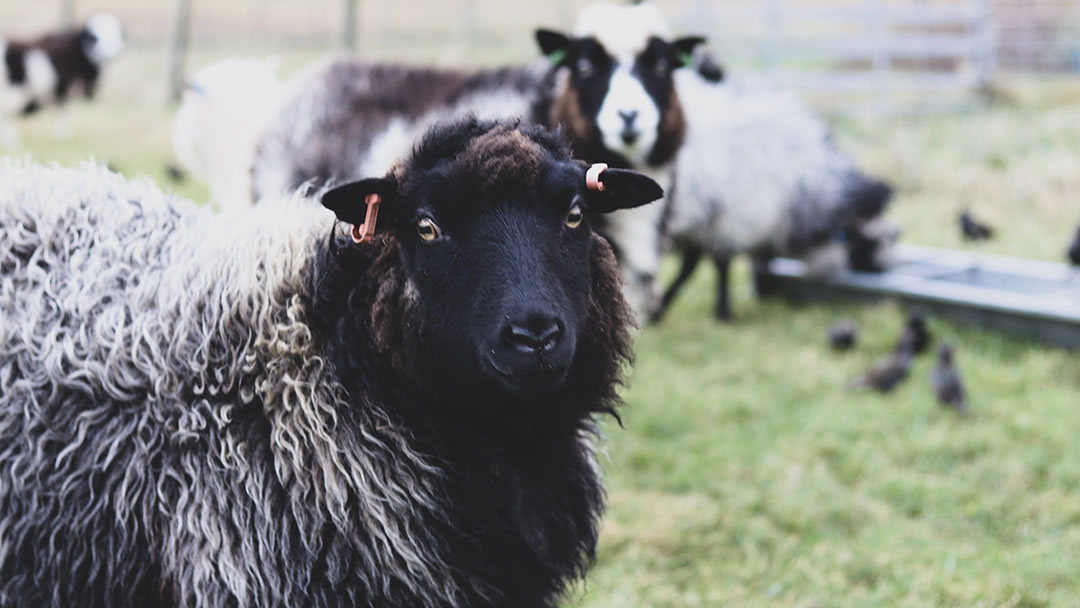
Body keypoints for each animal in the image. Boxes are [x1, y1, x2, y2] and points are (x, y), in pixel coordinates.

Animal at [0, 13, 123, 147]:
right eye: (94, 37)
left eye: (117, 34)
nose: (113, 53)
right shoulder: (62, 89)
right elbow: (62, 112)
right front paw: (63, 137)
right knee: (6, 115)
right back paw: (12, 141)